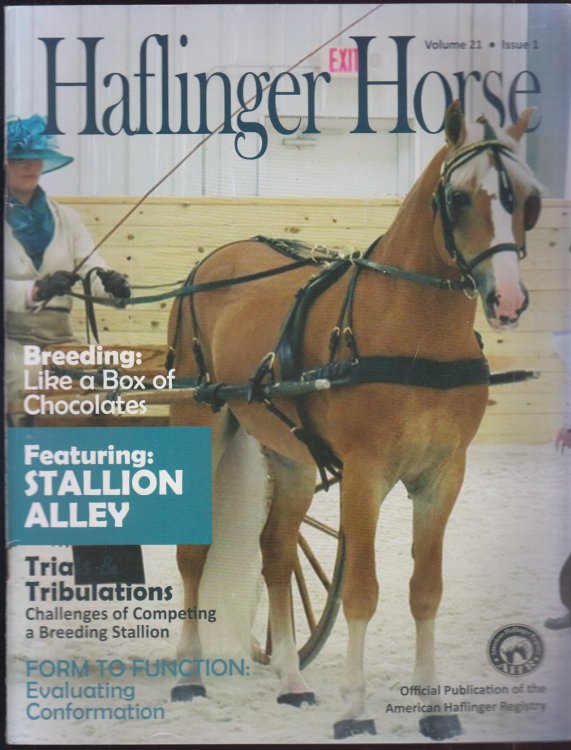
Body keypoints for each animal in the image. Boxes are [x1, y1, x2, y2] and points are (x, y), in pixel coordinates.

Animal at [166, 101, 542, 740]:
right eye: (460, 198)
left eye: (528, 199)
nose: (509, 300)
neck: (414, 331)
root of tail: (213, 260)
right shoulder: (365, 474)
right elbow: (363, 592)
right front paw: (354, 709)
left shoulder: (444, 475)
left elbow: (426, 591)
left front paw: (434, 708)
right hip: (200, 416)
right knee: (195, 551)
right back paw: (190, 673)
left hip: (291, 458)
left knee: (277, 552)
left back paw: (292, 681)